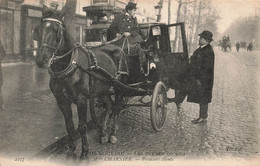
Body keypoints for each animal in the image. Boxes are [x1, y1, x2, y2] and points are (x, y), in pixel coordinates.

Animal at [33, 5, 124, 159]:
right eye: (38, 29)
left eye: (56, 30)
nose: (41, 60)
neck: (69, 67)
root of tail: (118, 48)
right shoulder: (62, 101)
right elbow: (69, 125)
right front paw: (71, 150)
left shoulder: (81, 100)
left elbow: (82, 126)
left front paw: (85, 151)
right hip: (103, 89)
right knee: (109, 106)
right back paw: (103, 133)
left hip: (118, 87)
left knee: (117, 107)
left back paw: (112, 134)